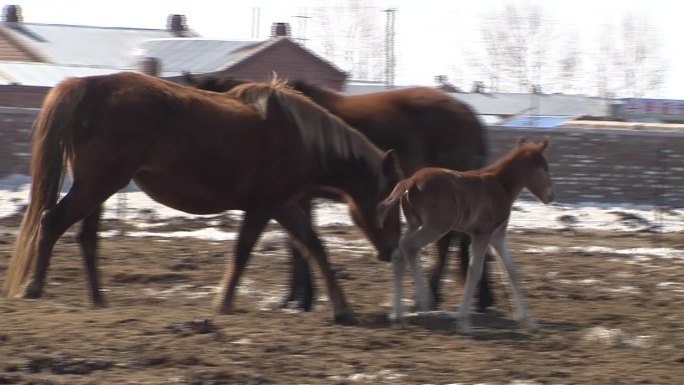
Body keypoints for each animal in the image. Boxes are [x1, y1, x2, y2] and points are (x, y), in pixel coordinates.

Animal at [4, 72, 400, 324]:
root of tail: (85, 85)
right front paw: (223, 302)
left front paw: (343, 309)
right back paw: (34, 288)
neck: (298, 135)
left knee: (85, 236)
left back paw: (97, 298)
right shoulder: (265, 207)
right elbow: (243, 252)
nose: (390, 251)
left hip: (99, 187)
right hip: (97, 185)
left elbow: (315, 247)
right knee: (52, 221)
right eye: (390, 205)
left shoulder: (285, 206)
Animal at [184, 72, 494, 312]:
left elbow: (298, 247)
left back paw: (439, 294)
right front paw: (295, 298)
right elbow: (297, 244)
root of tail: (468, 114)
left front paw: (302, 298)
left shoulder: (295, 198)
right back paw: (477, 298)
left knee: (451, 240)